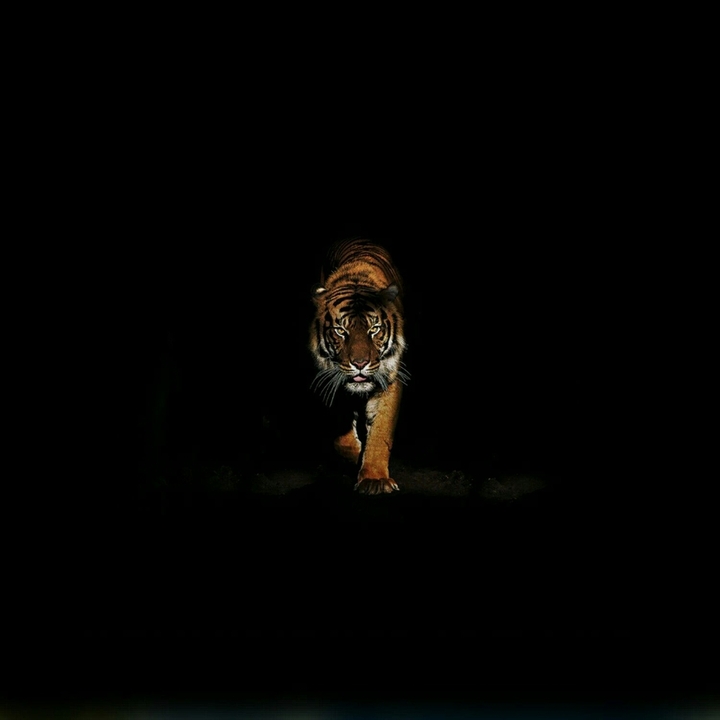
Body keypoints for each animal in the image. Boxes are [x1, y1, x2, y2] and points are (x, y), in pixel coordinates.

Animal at [310, 239, 409, 495]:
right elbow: (341, 433)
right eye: (340, 331)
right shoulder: (331, 379)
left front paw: (374, 479)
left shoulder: (390, 379)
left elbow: (381, 432)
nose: (360, 363)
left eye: (374, 329)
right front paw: (354, 457)